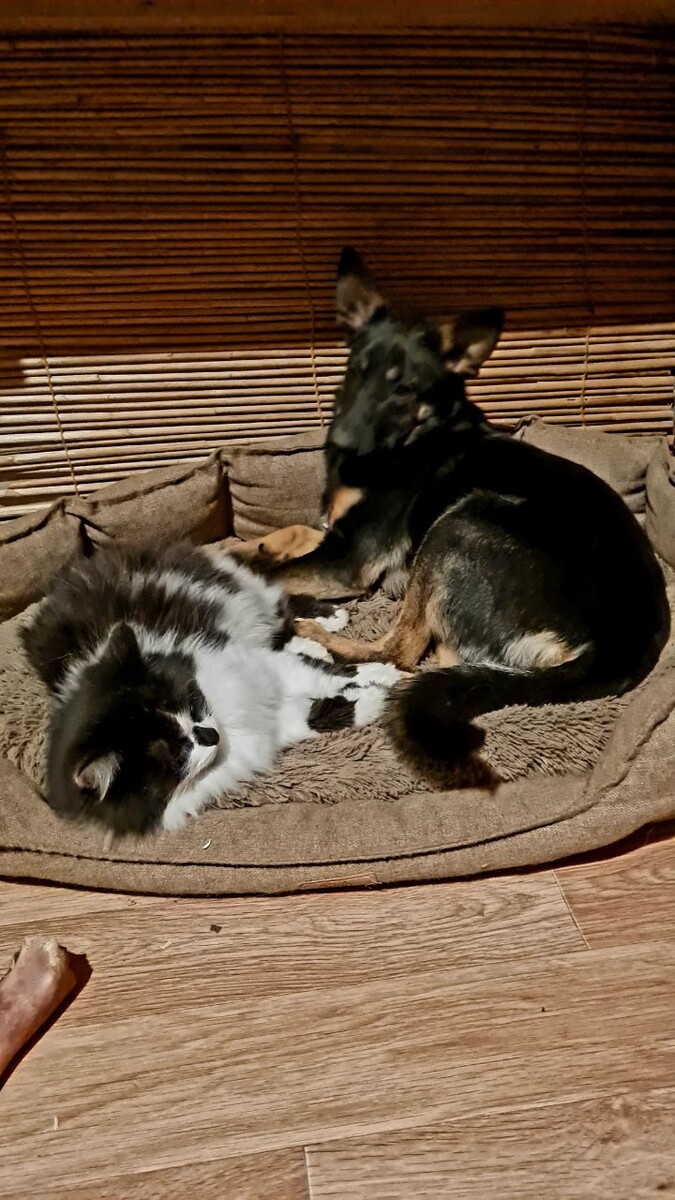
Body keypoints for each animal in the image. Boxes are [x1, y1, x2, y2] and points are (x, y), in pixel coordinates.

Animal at [21, 542, 400, 836]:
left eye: (190, 703)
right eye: (176, 754)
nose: (211, 735)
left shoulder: (265, 668)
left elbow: (335, 673)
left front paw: (387, 676)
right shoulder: (275, 718)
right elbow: (320, 710)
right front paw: (375, 696)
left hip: (239, 592)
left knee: (283, 607)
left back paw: (332, 617)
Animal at [232, 248, 669, 764]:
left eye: (403, 390)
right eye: (357, 369)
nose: (341, 444)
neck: (418, 434)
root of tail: (616, 649)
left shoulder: (349, 562)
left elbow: (272, 571)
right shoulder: (338, 536)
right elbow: (288, 534)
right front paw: (236, 548)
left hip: (460, 524)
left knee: (400, 654)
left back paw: (316, 637)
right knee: (442, 660)